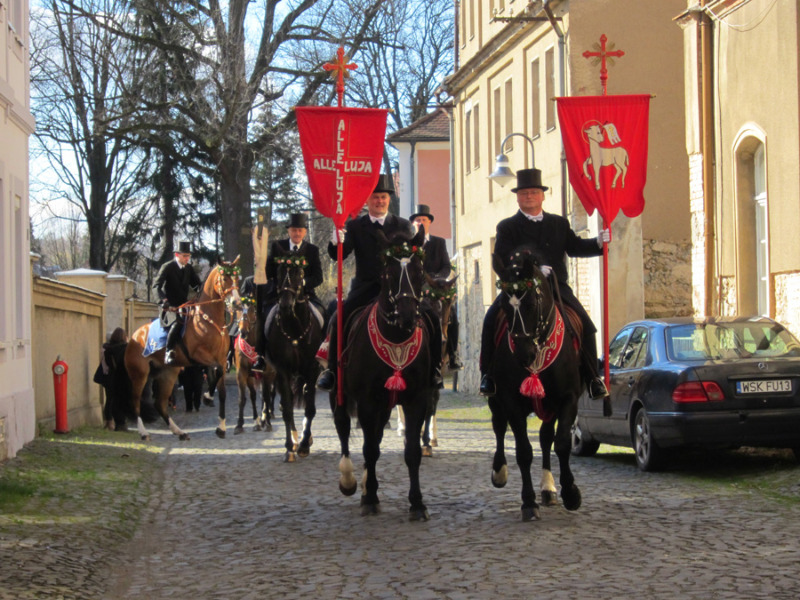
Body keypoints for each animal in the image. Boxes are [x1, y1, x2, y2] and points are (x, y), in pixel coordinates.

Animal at [123, 258, 242, 440]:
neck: (208, 319)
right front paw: (207, 397)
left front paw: (221, 427)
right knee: (134, 401)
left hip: (168, 373)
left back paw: (179, 431)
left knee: (160, 404)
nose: (236, 303)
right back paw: (143, 433)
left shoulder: (221, 359)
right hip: (139, 375)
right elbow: (216, 370)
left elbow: (222, 391)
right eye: (224, 278)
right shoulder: (199, 356)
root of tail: (135, 336)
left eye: (237, 278)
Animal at [264, 246, 324, 462]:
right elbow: (288, 409)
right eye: (279, 272)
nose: (285, 305)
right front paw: (290, 447)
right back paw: (295, 438)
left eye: (299, 274)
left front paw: (305, 445)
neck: (294, 326)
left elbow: (310, 408)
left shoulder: (312, 369)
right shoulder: (282, 371)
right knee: (285, 404)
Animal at [330, 226, 432, 520]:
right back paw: (350, 480)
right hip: (339, 393)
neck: (396, 337)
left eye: (419, 270)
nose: (407, 317)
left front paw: (417, 504)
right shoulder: (366, 401)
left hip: (386, 405)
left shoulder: (416, 399)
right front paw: (370, 498)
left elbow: (411, 451)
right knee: (343, 428)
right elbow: (370, 449)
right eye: (389, 273)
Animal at [488, 247, 580, 520]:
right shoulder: (511, 401)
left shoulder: (568, 398)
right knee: (499, 427)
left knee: (546, 437)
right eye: (504, 307)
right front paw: (528, 502)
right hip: (495, 398)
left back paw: (549, 489)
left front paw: (570, 493)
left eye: (530, 304)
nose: (524, 355)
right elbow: (523, 451)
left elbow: (561, 443)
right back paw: (499, 471)